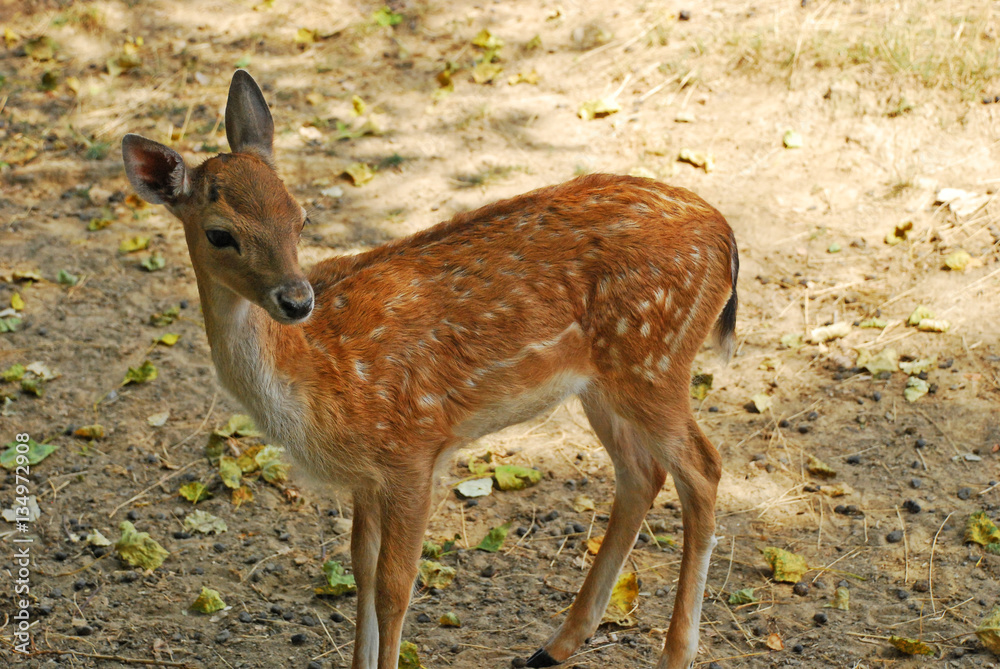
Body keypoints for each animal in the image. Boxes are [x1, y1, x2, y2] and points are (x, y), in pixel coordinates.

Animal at [121, 70, 738, 669]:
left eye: (301, 216)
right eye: (219, 233)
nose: (296, 300)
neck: (319, 381)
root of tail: (725, 236)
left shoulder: (412, 450)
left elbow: (395, 586)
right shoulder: (367, 478)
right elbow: (361, 573)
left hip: (655, 359)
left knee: (703, 468)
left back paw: (674, 654)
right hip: (602, 382)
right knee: (640, 474)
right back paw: (554, 646)